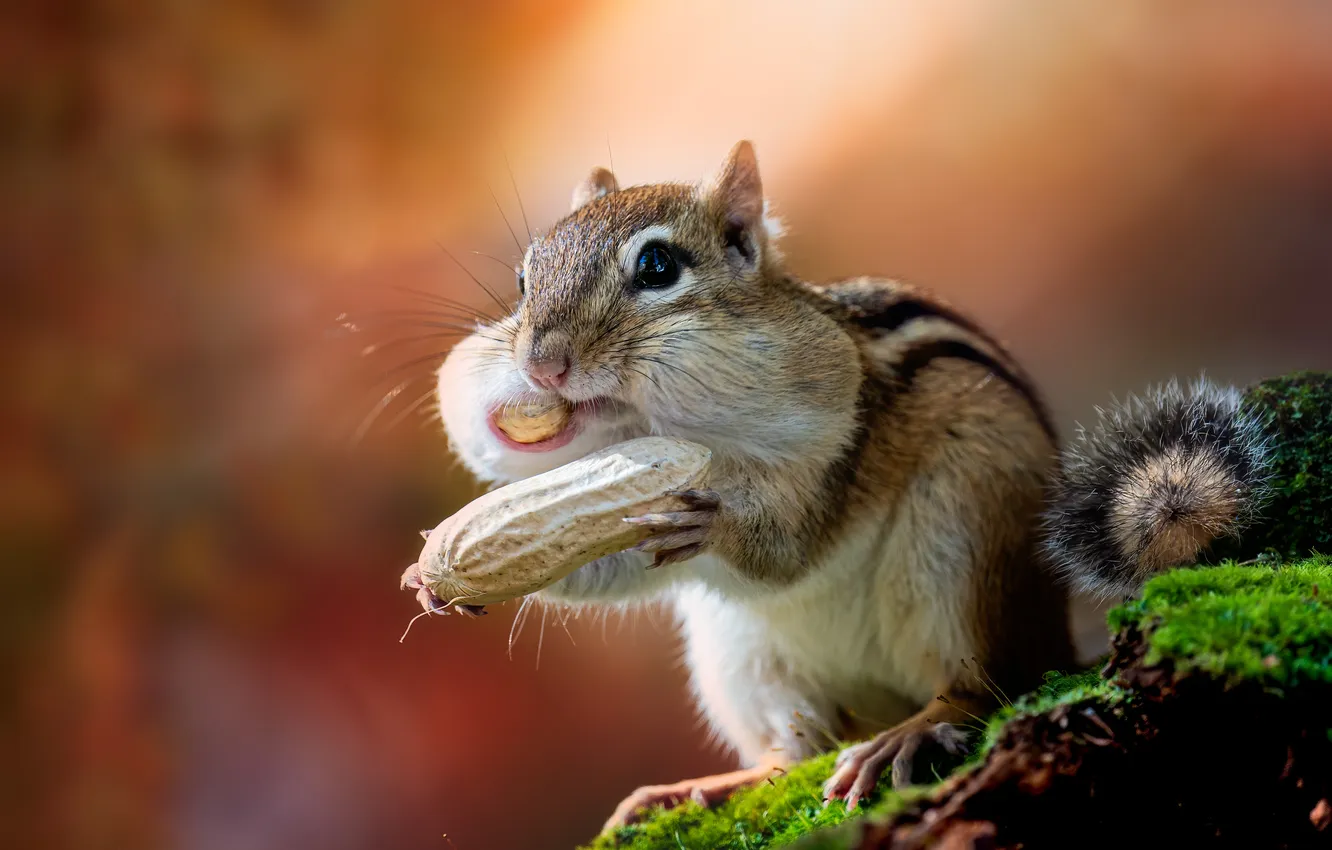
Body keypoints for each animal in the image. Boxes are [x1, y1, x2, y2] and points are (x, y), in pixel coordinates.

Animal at [413, 141, 1273, 830]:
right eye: (524, 276)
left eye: (657, 268)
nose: (542, 365)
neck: (676, 432)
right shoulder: (622, 511)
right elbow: (604, 562)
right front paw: (439, 573)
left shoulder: (841, 440)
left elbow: (793, 546)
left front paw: (721, 526)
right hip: (741, 660)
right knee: (792, 752)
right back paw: (706, 786)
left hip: (960, 547)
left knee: (987, 681)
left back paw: (914, 730)